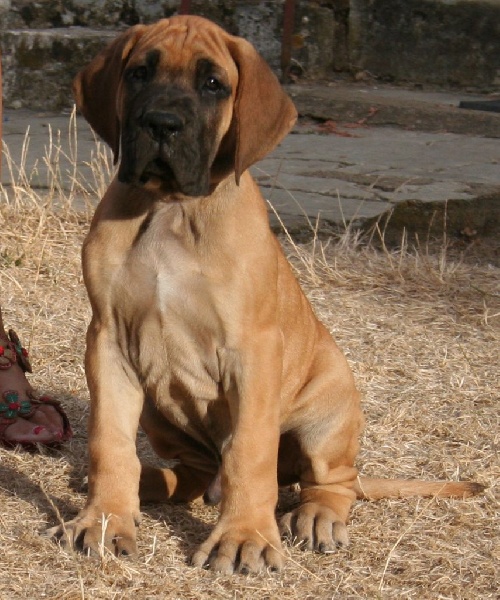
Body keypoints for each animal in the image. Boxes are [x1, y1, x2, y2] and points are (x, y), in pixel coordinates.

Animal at [50, 16, 483, 574]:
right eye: (139, 73)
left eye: (214, 84)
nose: (162, 124)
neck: (172, 207)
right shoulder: (108, 342)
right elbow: (109, 442)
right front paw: (104, 519)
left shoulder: (251, 350)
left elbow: (250, 452)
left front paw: (243, 537)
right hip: (158, 411)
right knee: (193, 473)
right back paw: (151, 481)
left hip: (327, 408)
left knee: (331, 481)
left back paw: (316, 516)